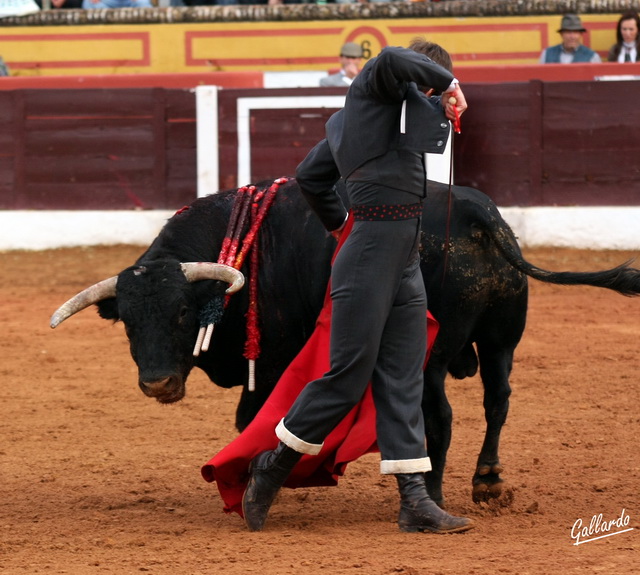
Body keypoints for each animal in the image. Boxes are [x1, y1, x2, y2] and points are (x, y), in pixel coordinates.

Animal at [51, 180, 640, 508]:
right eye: (127, 322)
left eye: (181, 313)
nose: (158, 384)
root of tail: (480, 216)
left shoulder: (271, 359)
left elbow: (251, 416)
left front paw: (253, 478)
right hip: (500, 340)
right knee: (498, 401)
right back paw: (487, 483)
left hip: (432, 354)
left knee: (440, 415)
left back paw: (435, 490)